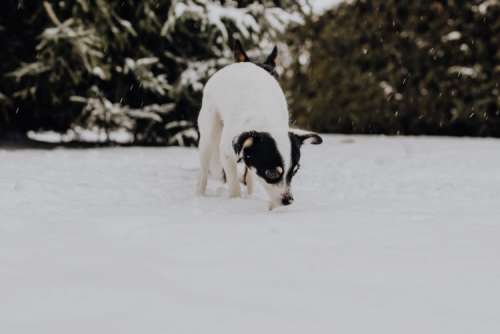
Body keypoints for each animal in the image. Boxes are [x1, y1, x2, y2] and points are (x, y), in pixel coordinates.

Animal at [197, 41, 322, 209]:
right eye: (271, 173)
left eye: (294, 171)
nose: (288, 201)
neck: (266, 120)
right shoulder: (227, 153)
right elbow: (233, 184)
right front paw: (236, 200)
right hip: (209, 133)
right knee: (204, 167)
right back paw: (199, 194)